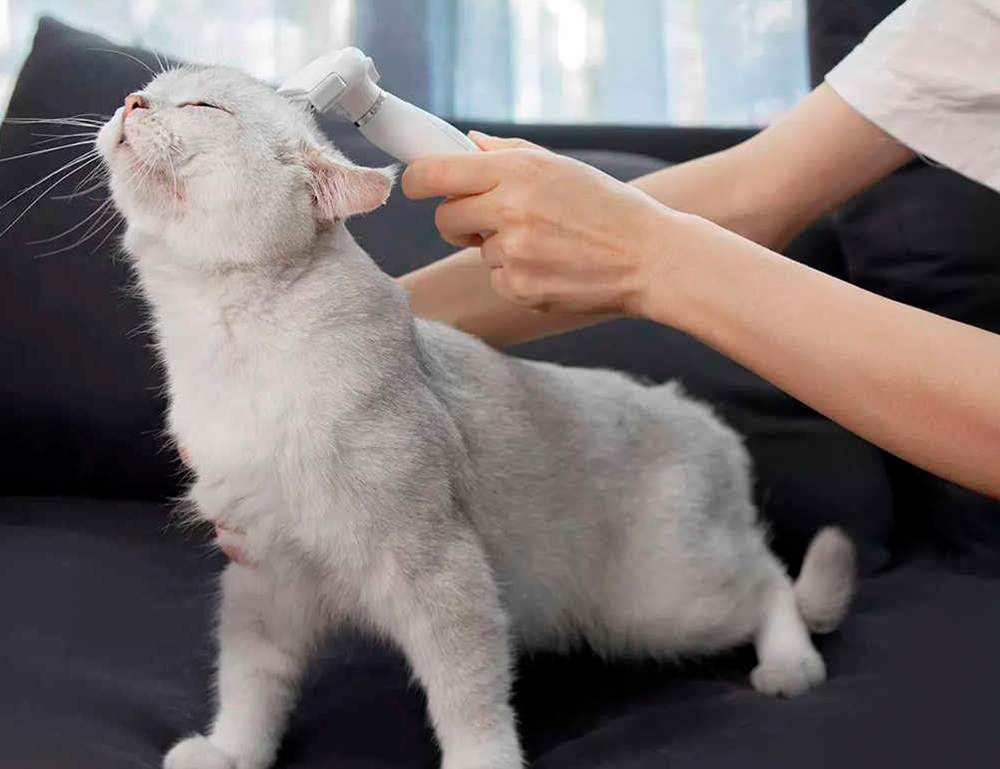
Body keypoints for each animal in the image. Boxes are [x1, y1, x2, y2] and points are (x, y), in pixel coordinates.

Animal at [94, 65, 855, 769]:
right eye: (151, 90)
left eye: (202, 105)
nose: (129, 102)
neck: (221, 348)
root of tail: (693, 409)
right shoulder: (265, 572)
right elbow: (251, 683)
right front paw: (228, 753)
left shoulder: (438, 568)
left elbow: (468, 697)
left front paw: (482, 763)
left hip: (666, 603)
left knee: (772, 581)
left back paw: (789, 667)